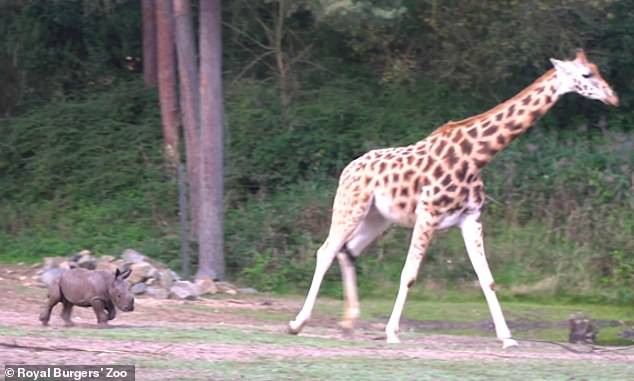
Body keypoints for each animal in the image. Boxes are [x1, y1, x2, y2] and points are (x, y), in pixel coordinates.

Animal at [288, 50, 616, 348]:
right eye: (586, 75)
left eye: (598, 70)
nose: (613, 98)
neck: (476, 157)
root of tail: (348, 168)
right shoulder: (427, 214)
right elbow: (409, 274)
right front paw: (392, 333)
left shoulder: (471, 218)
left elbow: (487, 278)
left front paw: (508, 338)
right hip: (350, 207)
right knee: (326, 250)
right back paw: (297, 323)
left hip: (377, 218)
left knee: (348, 251)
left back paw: (348, 323)